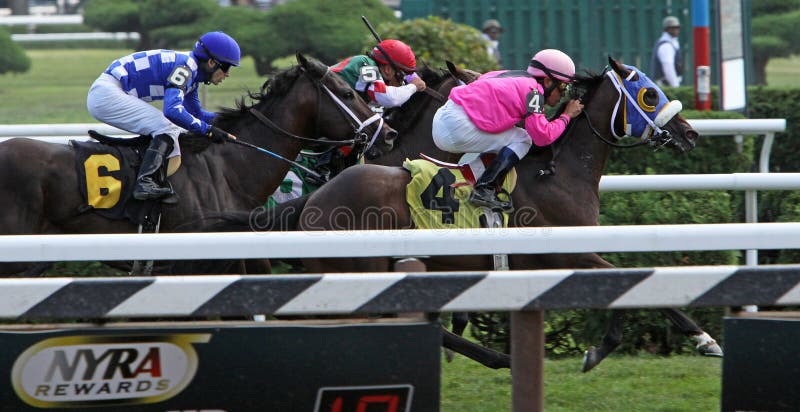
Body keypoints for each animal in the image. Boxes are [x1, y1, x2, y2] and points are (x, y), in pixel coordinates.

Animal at [203, 57, 720, 370]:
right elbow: (634, 287)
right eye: (650, 94)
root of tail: (311, 201)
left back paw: (496, 358)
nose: (690, 132)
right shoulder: (563, 252)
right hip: (356, 272)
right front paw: (700, 338)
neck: (558, 169)